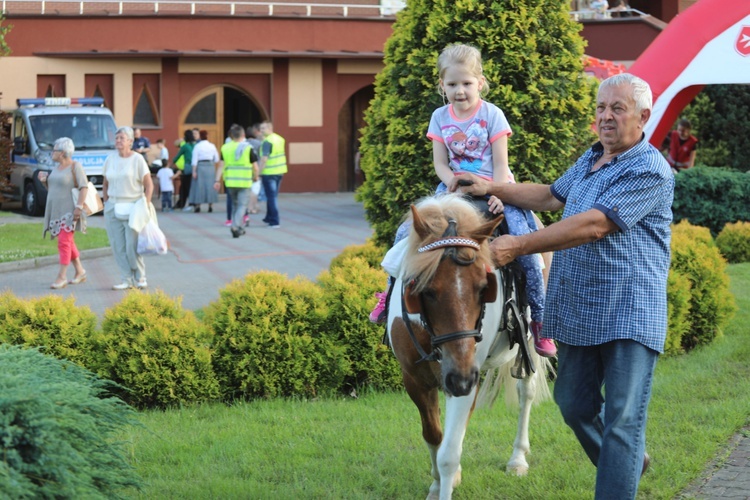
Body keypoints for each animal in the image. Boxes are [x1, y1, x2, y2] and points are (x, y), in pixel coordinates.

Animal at [388, 194, 552, 500]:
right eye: (426, 291)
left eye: (482, 288)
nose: (461, 377)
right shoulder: (415, 379)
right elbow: (433, 435)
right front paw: (437, 483)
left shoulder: (465, 380)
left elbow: (449, 453)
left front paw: (447, 480)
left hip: (528, 344)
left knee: (526, 393)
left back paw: (518, 458)